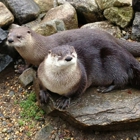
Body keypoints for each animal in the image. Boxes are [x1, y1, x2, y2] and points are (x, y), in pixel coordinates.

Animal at [6, 25, 140, 67]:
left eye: (19, 36)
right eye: (8, 34)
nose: (10, 40)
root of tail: (110, 36)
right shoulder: (27, 58)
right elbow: (26, 65)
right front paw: (20, 68)